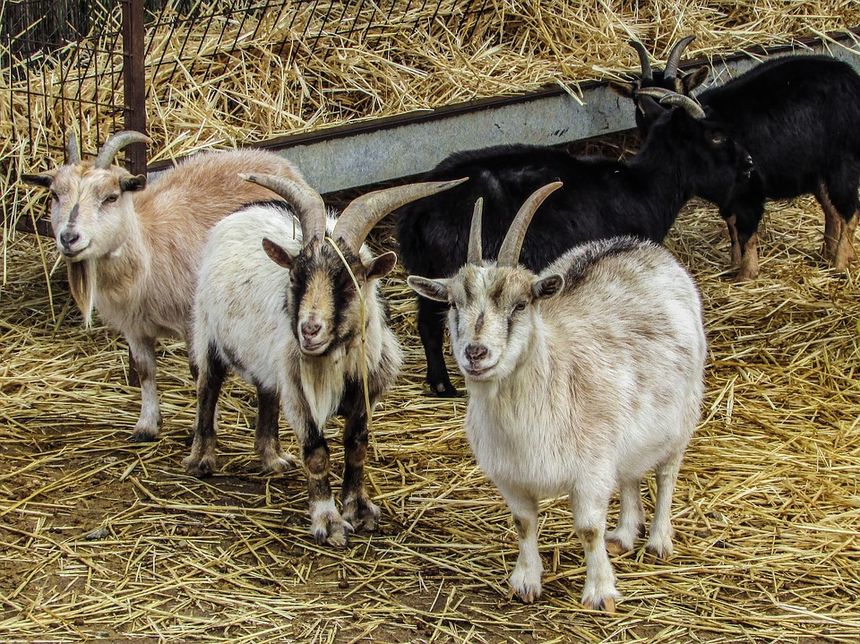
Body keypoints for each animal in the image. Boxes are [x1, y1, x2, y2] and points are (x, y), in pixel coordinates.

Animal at [21, 132, 305, 441]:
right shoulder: (133, 327)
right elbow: (145, 370)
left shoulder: (192, 322)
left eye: (111, 197)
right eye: (55, 194)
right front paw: (146, 425)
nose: (69, 237)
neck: (146, 252)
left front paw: (204, 426)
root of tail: (274, 159)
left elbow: (199, 372)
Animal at [184, 174, 465, 546]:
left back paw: (273, 458)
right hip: (207, 330)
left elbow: (357, 447)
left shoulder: (364, 393)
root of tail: (242, 210)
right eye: (295, 277)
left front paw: (359, 509)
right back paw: (202, 459)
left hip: (269, 361)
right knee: (208, 387)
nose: (310, 330)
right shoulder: (303, 396)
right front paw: (329, 522)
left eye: (349, 281)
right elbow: (317, 455)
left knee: (266, 393)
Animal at [396, 98, 750, 396]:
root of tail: (416, 213)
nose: (748, 163)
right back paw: (446, 385)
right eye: (715, 137)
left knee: (425, 324)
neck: (642, 188)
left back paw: (440, 385)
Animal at [407, 183, 706, 611]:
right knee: (631, 474)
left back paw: (658, 540)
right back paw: (624, 535)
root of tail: (640, 246)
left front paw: (600, 592)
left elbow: (588, 529)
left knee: (666, 473)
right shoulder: (510, 476)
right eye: (451, 304)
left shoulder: (591, 470)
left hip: (682, 415)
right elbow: (524, 523)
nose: (475, 353)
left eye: (520, 304)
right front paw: (525, 582)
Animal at [626, 41, 860, 279]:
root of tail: (851, 78)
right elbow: (732, 227)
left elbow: (746, 232)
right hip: (818, 170)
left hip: (843, 163)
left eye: (679, 89)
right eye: (637, 103)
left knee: (850, 211)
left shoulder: (749, 189)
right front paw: (733, 265)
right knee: (831, 210)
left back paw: (840, 264)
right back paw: (828, 254)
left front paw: (747, 275)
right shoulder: (728, 197)